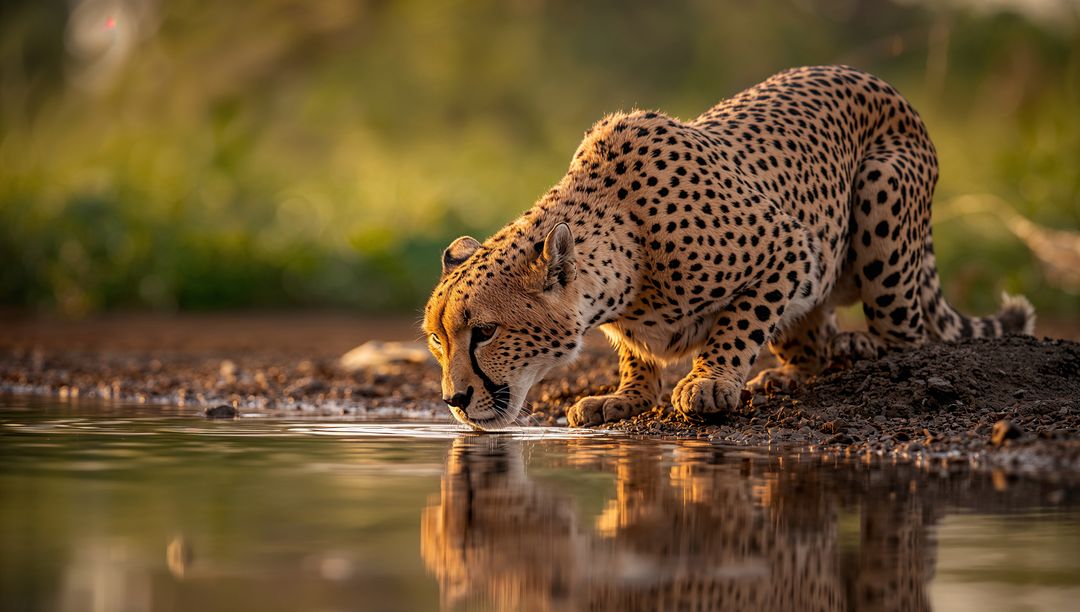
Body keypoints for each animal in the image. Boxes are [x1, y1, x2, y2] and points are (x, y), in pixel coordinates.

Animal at [423, 64, 1035, 430]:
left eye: (485, 332)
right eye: (435, 338)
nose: (453, 400)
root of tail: (877, 81)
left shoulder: (792, 249)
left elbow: (740, 322)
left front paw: (709, 382)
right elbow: (637, 352)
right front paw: (627, 396)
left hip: (880, 200)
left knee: (906, 334)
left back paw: (863, 350)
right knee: (813, 340)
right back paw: (799, 369)